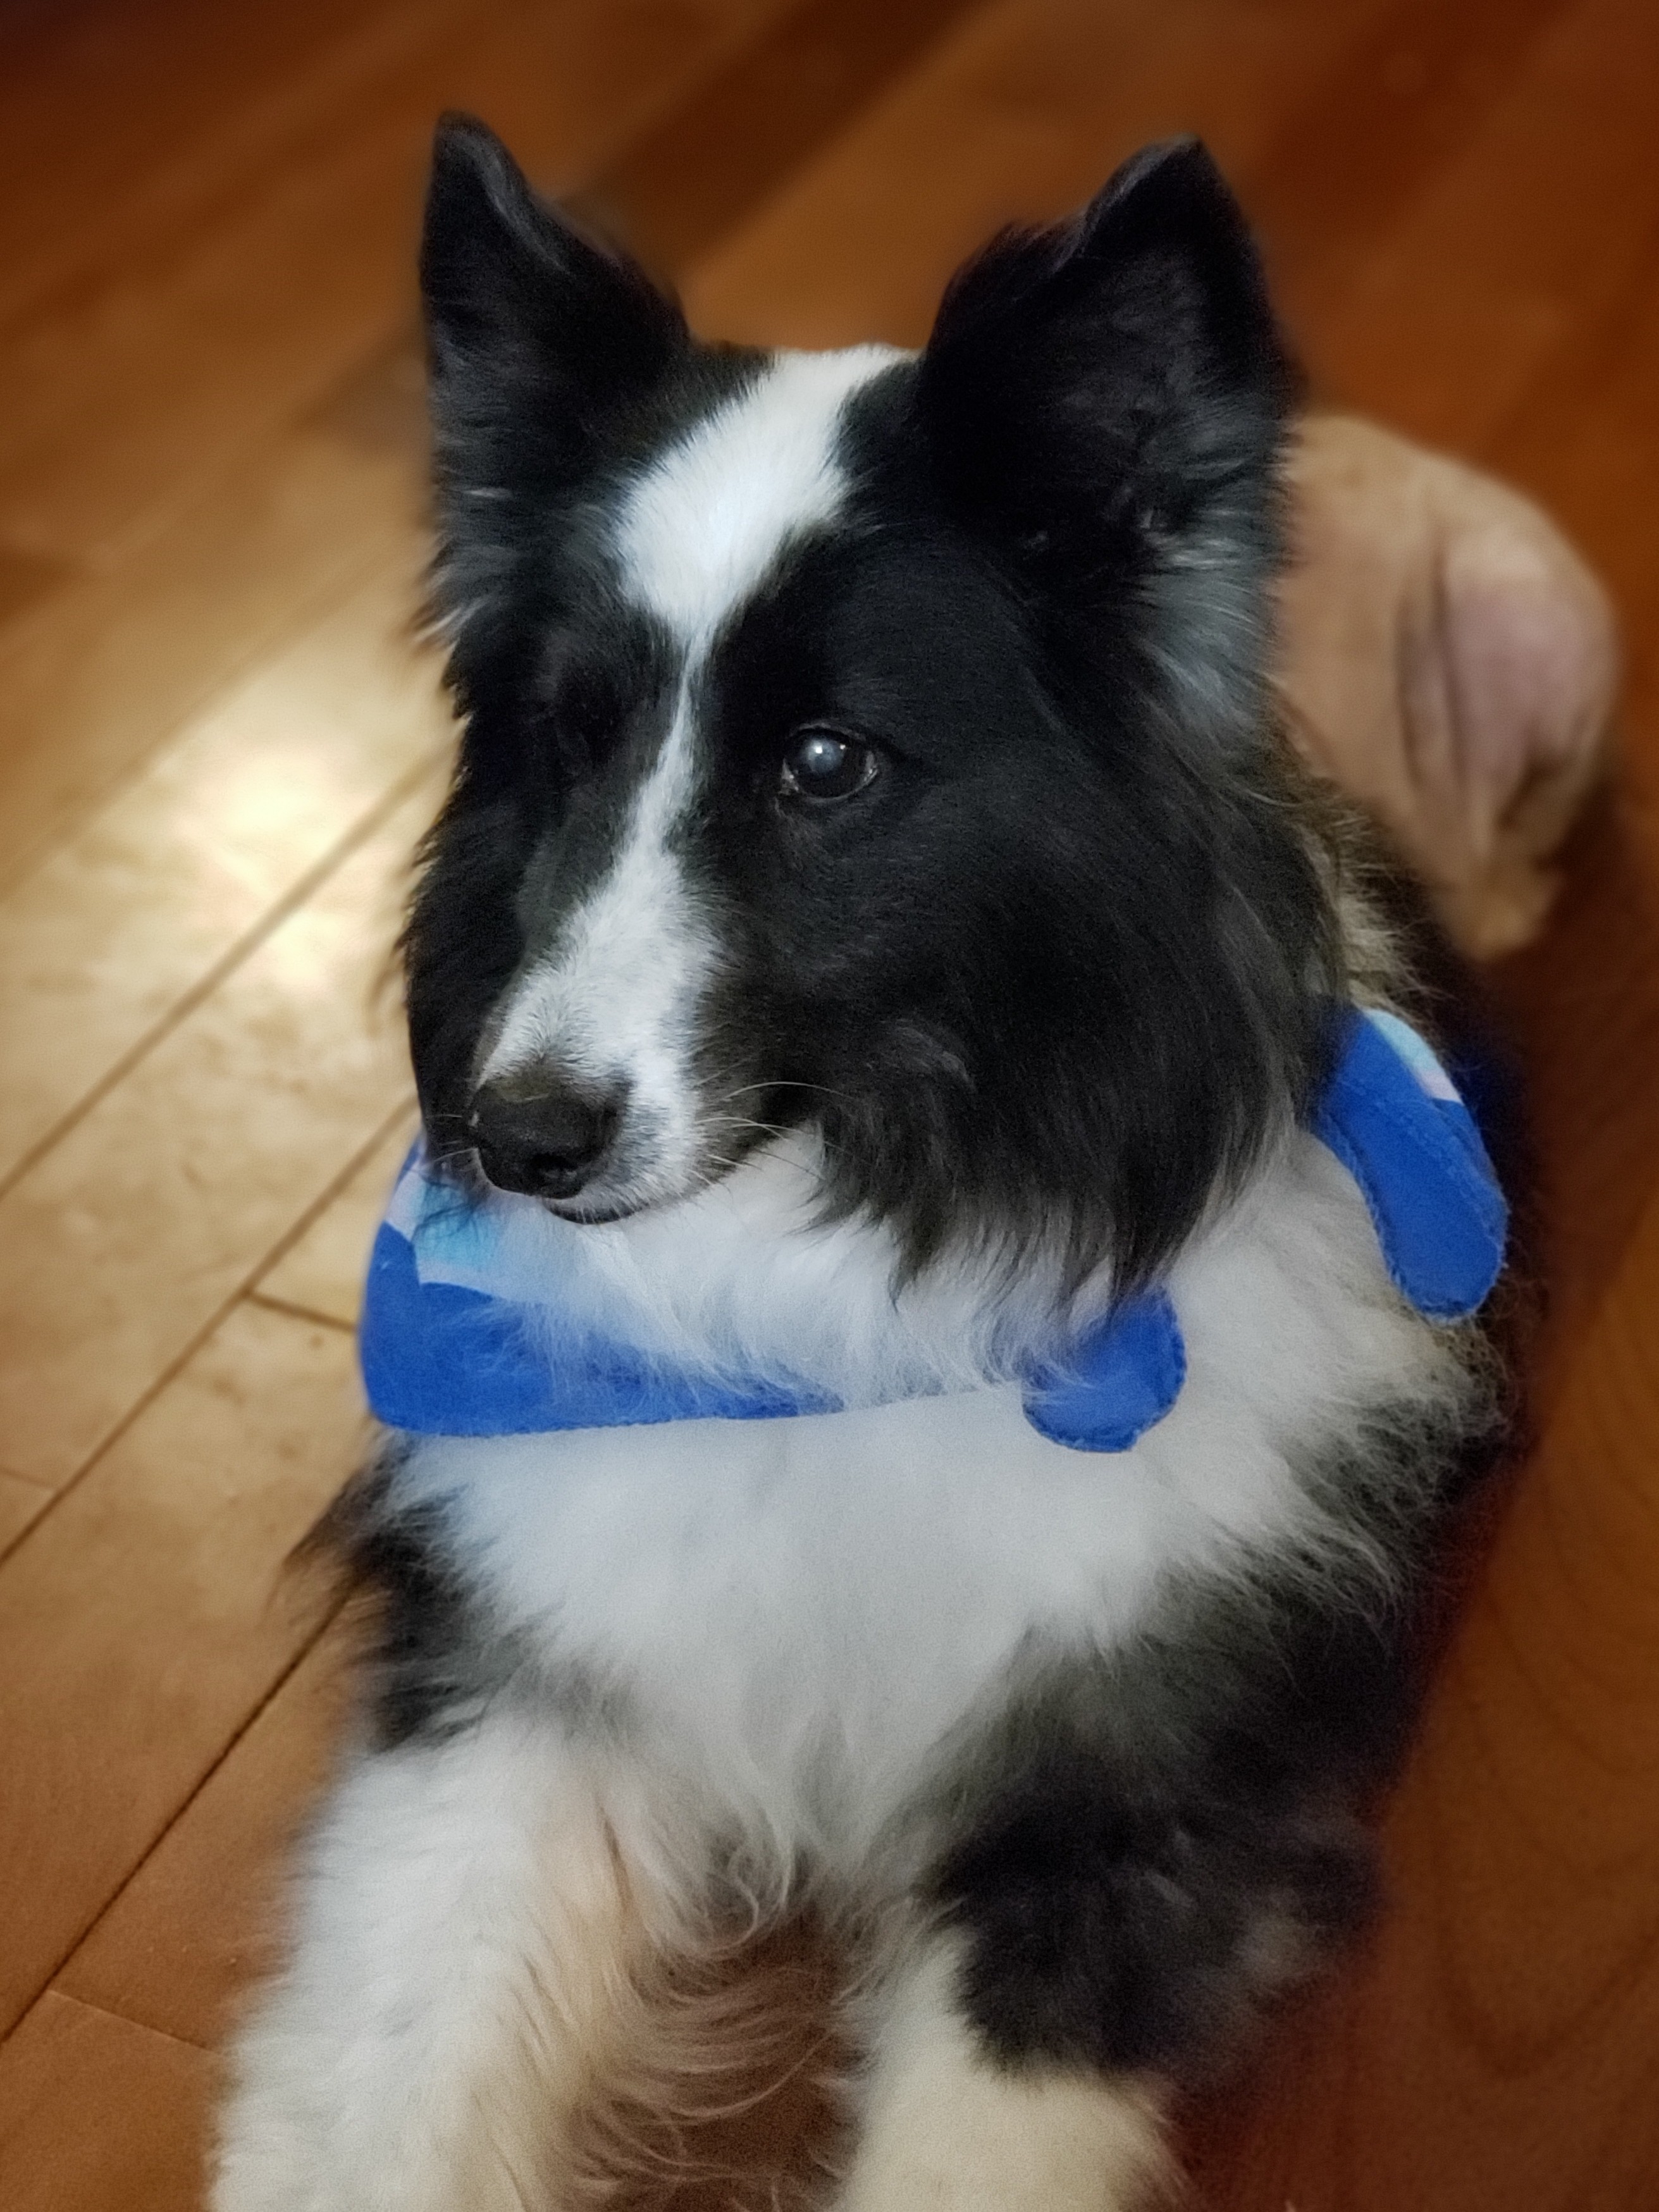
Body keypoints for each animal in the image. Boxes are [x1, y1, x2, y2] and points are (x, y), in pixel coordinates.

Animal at [214, 116, 1513, 2212]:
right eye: (563, 740)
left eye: (824, 763)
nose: (515, 1137)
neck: (828, 1294)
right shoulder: (519, 1695)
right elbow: (381, 2097)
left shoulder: (1111, 1809)